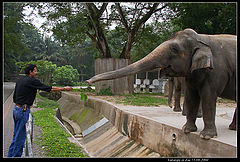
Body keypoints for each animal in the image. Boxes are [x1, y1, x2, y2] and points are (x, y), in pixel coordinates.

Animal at [86, 28, 236, 139]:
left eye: (174, 49)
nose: (88, 81)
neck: (201, 38)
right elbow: (191, 96)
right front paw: (186, 130)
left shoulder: (216, 71)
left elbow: (208, 97)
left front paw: (205, 136)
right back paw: (232, 128)